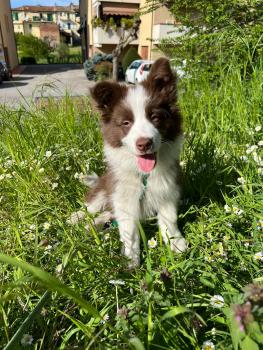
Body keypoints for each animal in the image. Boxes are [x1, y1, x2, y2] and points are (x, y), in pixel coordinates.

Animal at [85, 58, 187, 266]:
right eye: (126, 123)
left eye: (155, 117)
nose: (144, 144)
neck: (144, 176)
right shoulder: (123, 195)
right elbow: (129, 231)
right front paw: (131, 261)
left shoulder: (167, 188)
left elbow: (169, 218)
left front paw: (176, 243)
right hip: (104, 188)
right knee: (91, 206)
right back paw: (78, 219)